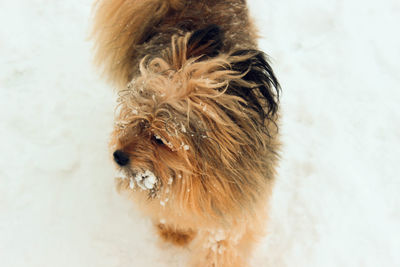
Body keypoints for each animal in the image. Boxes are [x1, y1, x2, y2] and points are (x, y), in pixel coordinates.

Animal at [90, 1, 280, 266]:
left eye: (159, 139)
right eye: (136, 119)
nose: (118, 155)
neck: (197, 177)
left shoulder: (234, 211)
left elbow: (219, 245)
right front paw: (175, 230)